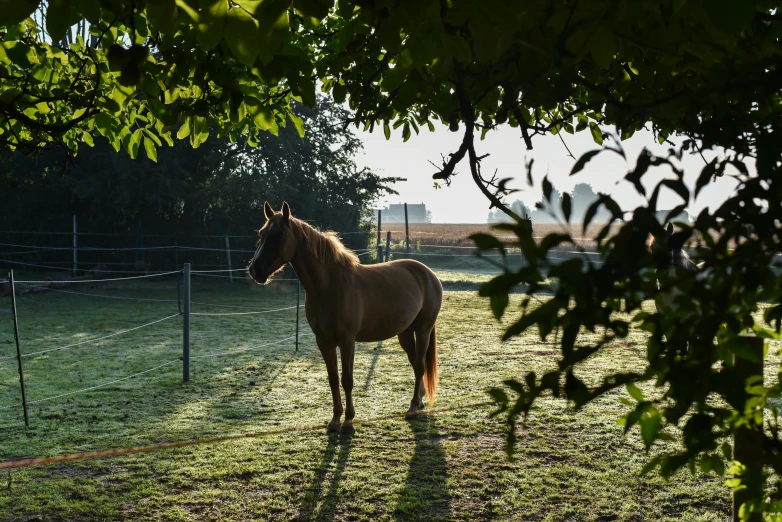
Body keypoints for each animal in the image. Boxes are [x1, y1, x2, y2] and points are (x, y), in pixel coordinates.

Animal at [247, 201, 440, 432]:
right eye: (261, 234)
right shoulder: (324, 341)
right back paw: (419, 401)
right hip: (405, 333)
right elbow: (333, 379)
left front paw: (348, 421)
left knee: (419, 365)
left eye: (279, 235)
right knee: (415, 363)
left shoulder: (347, 340)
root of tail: (428, 274)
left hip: (423, 329)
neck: (330, 285)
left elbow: (347, 379)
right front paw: (335, 420)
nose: (255, 270)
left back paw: (412, 407)